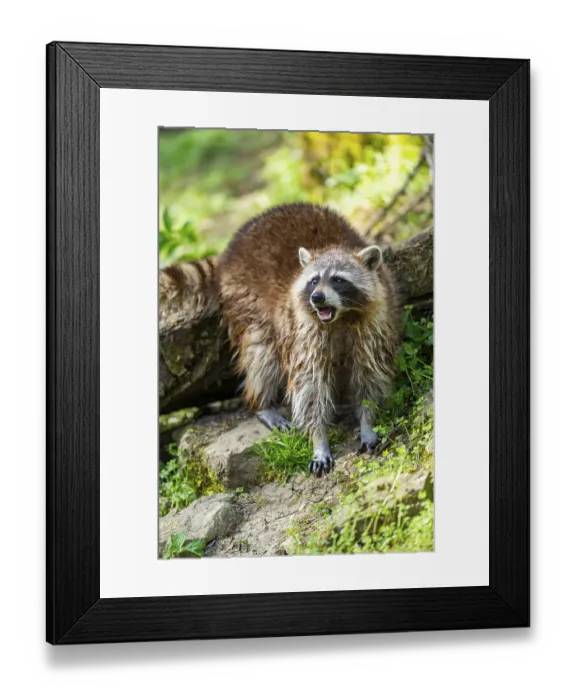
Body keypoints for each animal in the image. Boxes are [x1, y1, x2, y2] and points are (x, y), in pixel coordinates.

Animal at [164, 203, 399, 476]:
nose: (317, 297)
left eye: (339, 280)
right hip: (244, 299)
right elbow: (309, 387)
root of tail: (228, 252)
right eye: (314, 281)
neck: (340, 319)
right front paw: (319, 439)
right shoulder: (304, 334)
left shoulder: (374, 326)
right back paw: (261, 403)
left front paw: (367, 422)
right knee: (261, 355)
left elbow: (370, 375)